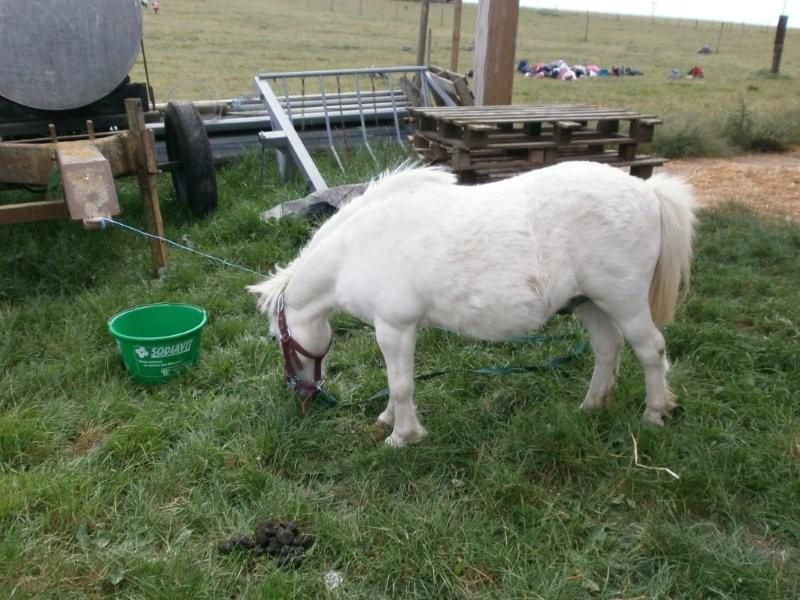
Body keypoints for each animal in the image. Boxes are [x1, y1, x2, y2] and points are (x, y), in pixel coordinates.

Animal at [248, 162, 692, 448]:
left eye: (277, 338)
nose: (300, 393)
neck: (357, 247)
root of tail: (649, 191)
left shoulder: (394, 327)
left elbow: (401, 384)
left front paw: (401, 437)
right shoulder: (395, 330)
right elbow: (396, 382)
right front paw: (389, 419)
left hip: (624, 301)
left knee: (650, 350)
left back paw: (654, 413)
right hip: (589, 303)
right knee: (607, 349)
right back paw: (590, 406)